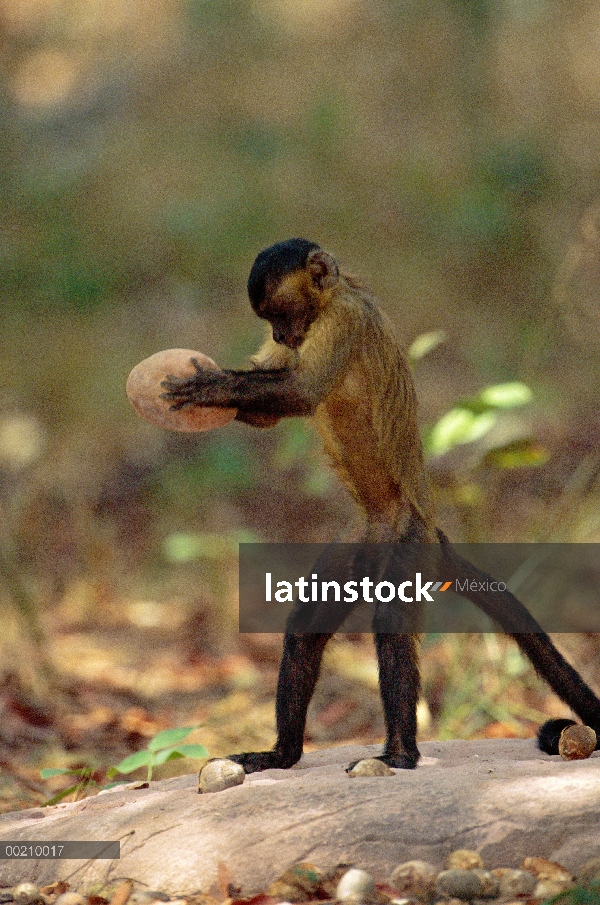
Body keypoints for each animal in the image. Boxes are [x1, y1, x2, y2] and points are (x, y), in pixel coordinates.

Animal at [161, 235, 600, 768]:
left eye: (283, 314)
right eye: (271, 322)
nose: (283, 336)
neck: (335, 295)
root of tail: (429, 530)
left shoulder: (343, 319)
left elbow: (302, 391)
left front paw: (213, 386)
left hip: (409, 543)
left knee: (390, 625)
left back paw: (401, 754)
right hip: (359, 543)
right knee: (305, 631)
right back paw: (284, 753)